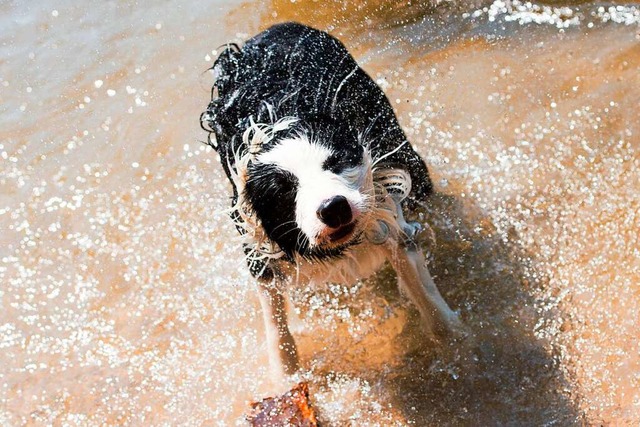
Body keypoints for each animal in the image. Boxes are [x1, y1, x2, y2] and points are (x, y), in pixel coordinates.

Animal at [202, 21, 462, 380]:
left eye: (336, 162)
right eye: (284, 189)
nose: (333, 208)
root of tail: (273, 28)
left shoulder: (382, 200)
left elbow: (420, 284)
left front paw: (456, 341)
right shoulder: (255, 240)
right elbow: (275, 324)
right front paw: (286, 377)